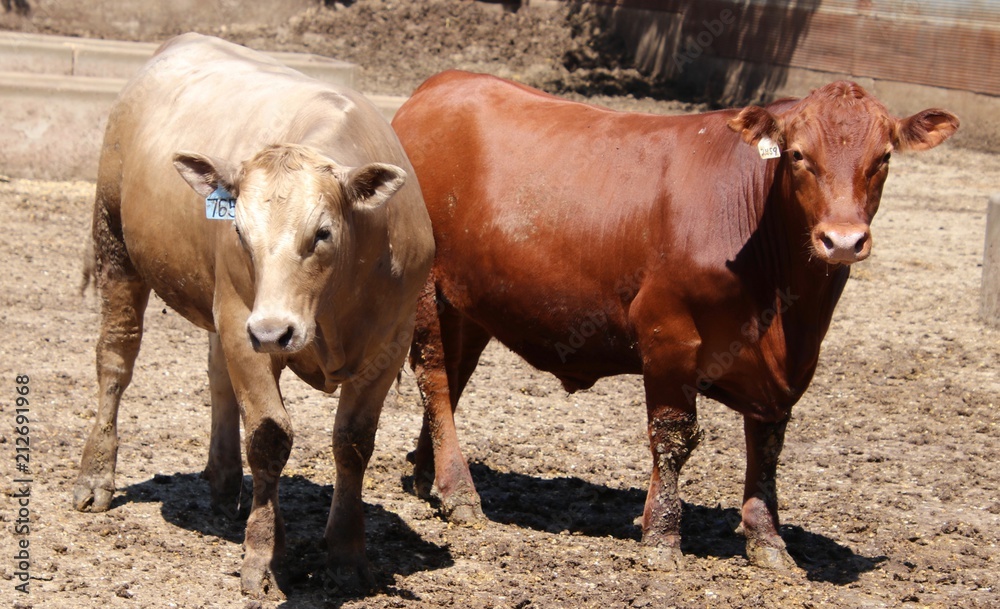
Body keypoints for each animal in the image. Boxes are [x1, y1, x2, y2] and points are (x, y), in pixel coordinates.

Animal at [73, 33, 434, 598]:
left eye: (322, 233)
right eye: (240, 231)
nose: (274, 330)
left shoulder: (390, 342)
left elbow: (352, 443)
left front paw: (348, 556)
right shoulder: (245, 322)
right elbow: (268, 436)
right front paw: (263, 556)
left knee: (218, 380)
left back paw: (223, 487)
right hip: (116, 245)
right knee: (115, 360)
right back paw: (95, 477)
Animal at [392, 70, 957, 569]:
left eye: (883, 158)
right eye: (798, 155)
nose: (842, 240)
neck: (786, 313)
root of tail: (437, 88)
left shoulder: (789, 369)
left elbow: (767, 447)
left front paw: (768, 541)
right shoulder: (668, 331)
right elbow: (673, 436)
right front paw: (662, 537)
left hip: (471, 302)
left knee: (455, 377)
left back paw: (426, 475)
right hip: (426, 290)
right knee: (436, 378)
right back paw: (460, 494)